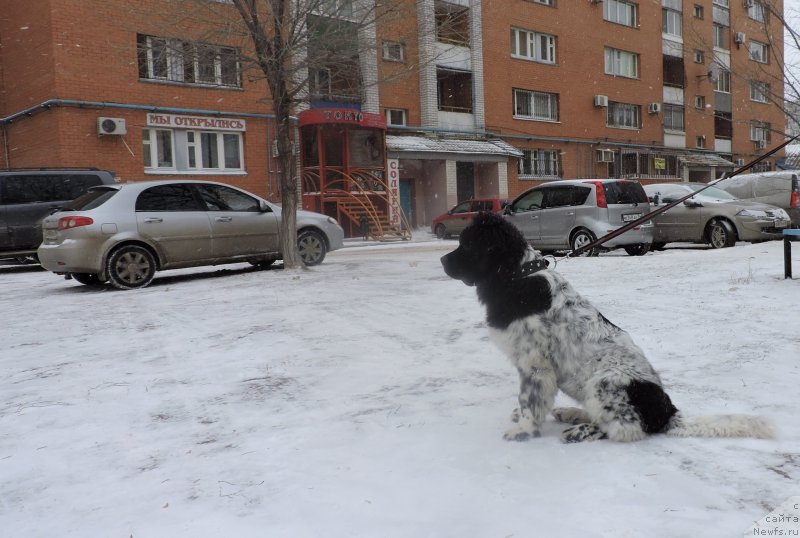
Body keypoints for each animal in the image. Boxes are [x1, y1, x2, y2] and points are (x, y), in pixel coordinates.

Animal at [440, 211, 772, 442]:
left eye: (468, 246)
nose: (442, 261)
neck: (519, 276)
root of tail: (667, 413)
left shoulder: (535, 364)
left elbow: (530, 400)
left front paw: (523, 429)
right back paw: (571, 413)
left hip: (605, 382)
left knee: (625, 429)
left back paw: (581, 430)